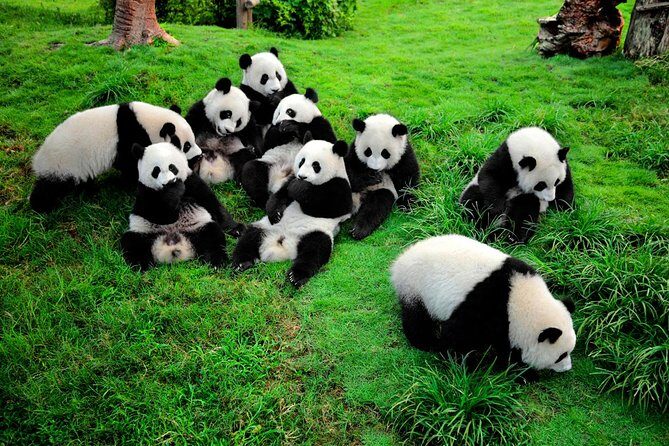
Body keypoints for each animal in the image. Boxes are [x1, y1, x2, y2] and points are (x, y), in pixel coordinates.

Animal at [30, 101, 203, 213]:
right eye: (186, 146)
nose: (199, 156)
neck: (147, 122)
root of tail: (38, 159)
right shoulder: (129, 136)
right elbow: (130, 164)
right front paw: (127, 183)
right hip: (63, 164)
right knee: (50, 186)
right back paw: (41, 206)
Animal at [232, 139, 352, 287]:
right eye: (301, 161)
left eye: (315, 165)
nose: (302, 176)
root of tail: (282, 245)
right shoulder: (290, 179)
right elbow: (280, 195)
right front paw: (275, 212)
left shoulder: (341, 186)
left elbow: (330, 207)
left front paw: (298, 188)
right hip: (265, 227)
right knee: (250, 237)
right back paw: (242, 263)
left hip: (315, 232)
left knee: (315, 251)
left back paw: (296, 276)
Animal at [390, 234, 576, 373]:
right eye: (561, 355)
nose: (567, 368)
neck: (519, 299)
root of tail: (400, 261)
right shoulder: (486, 306)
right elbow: (455, 335)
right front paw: (463, 363)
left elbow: (504, 344)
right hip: (415, 286)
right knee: (416, 318)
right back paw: (425, 342)